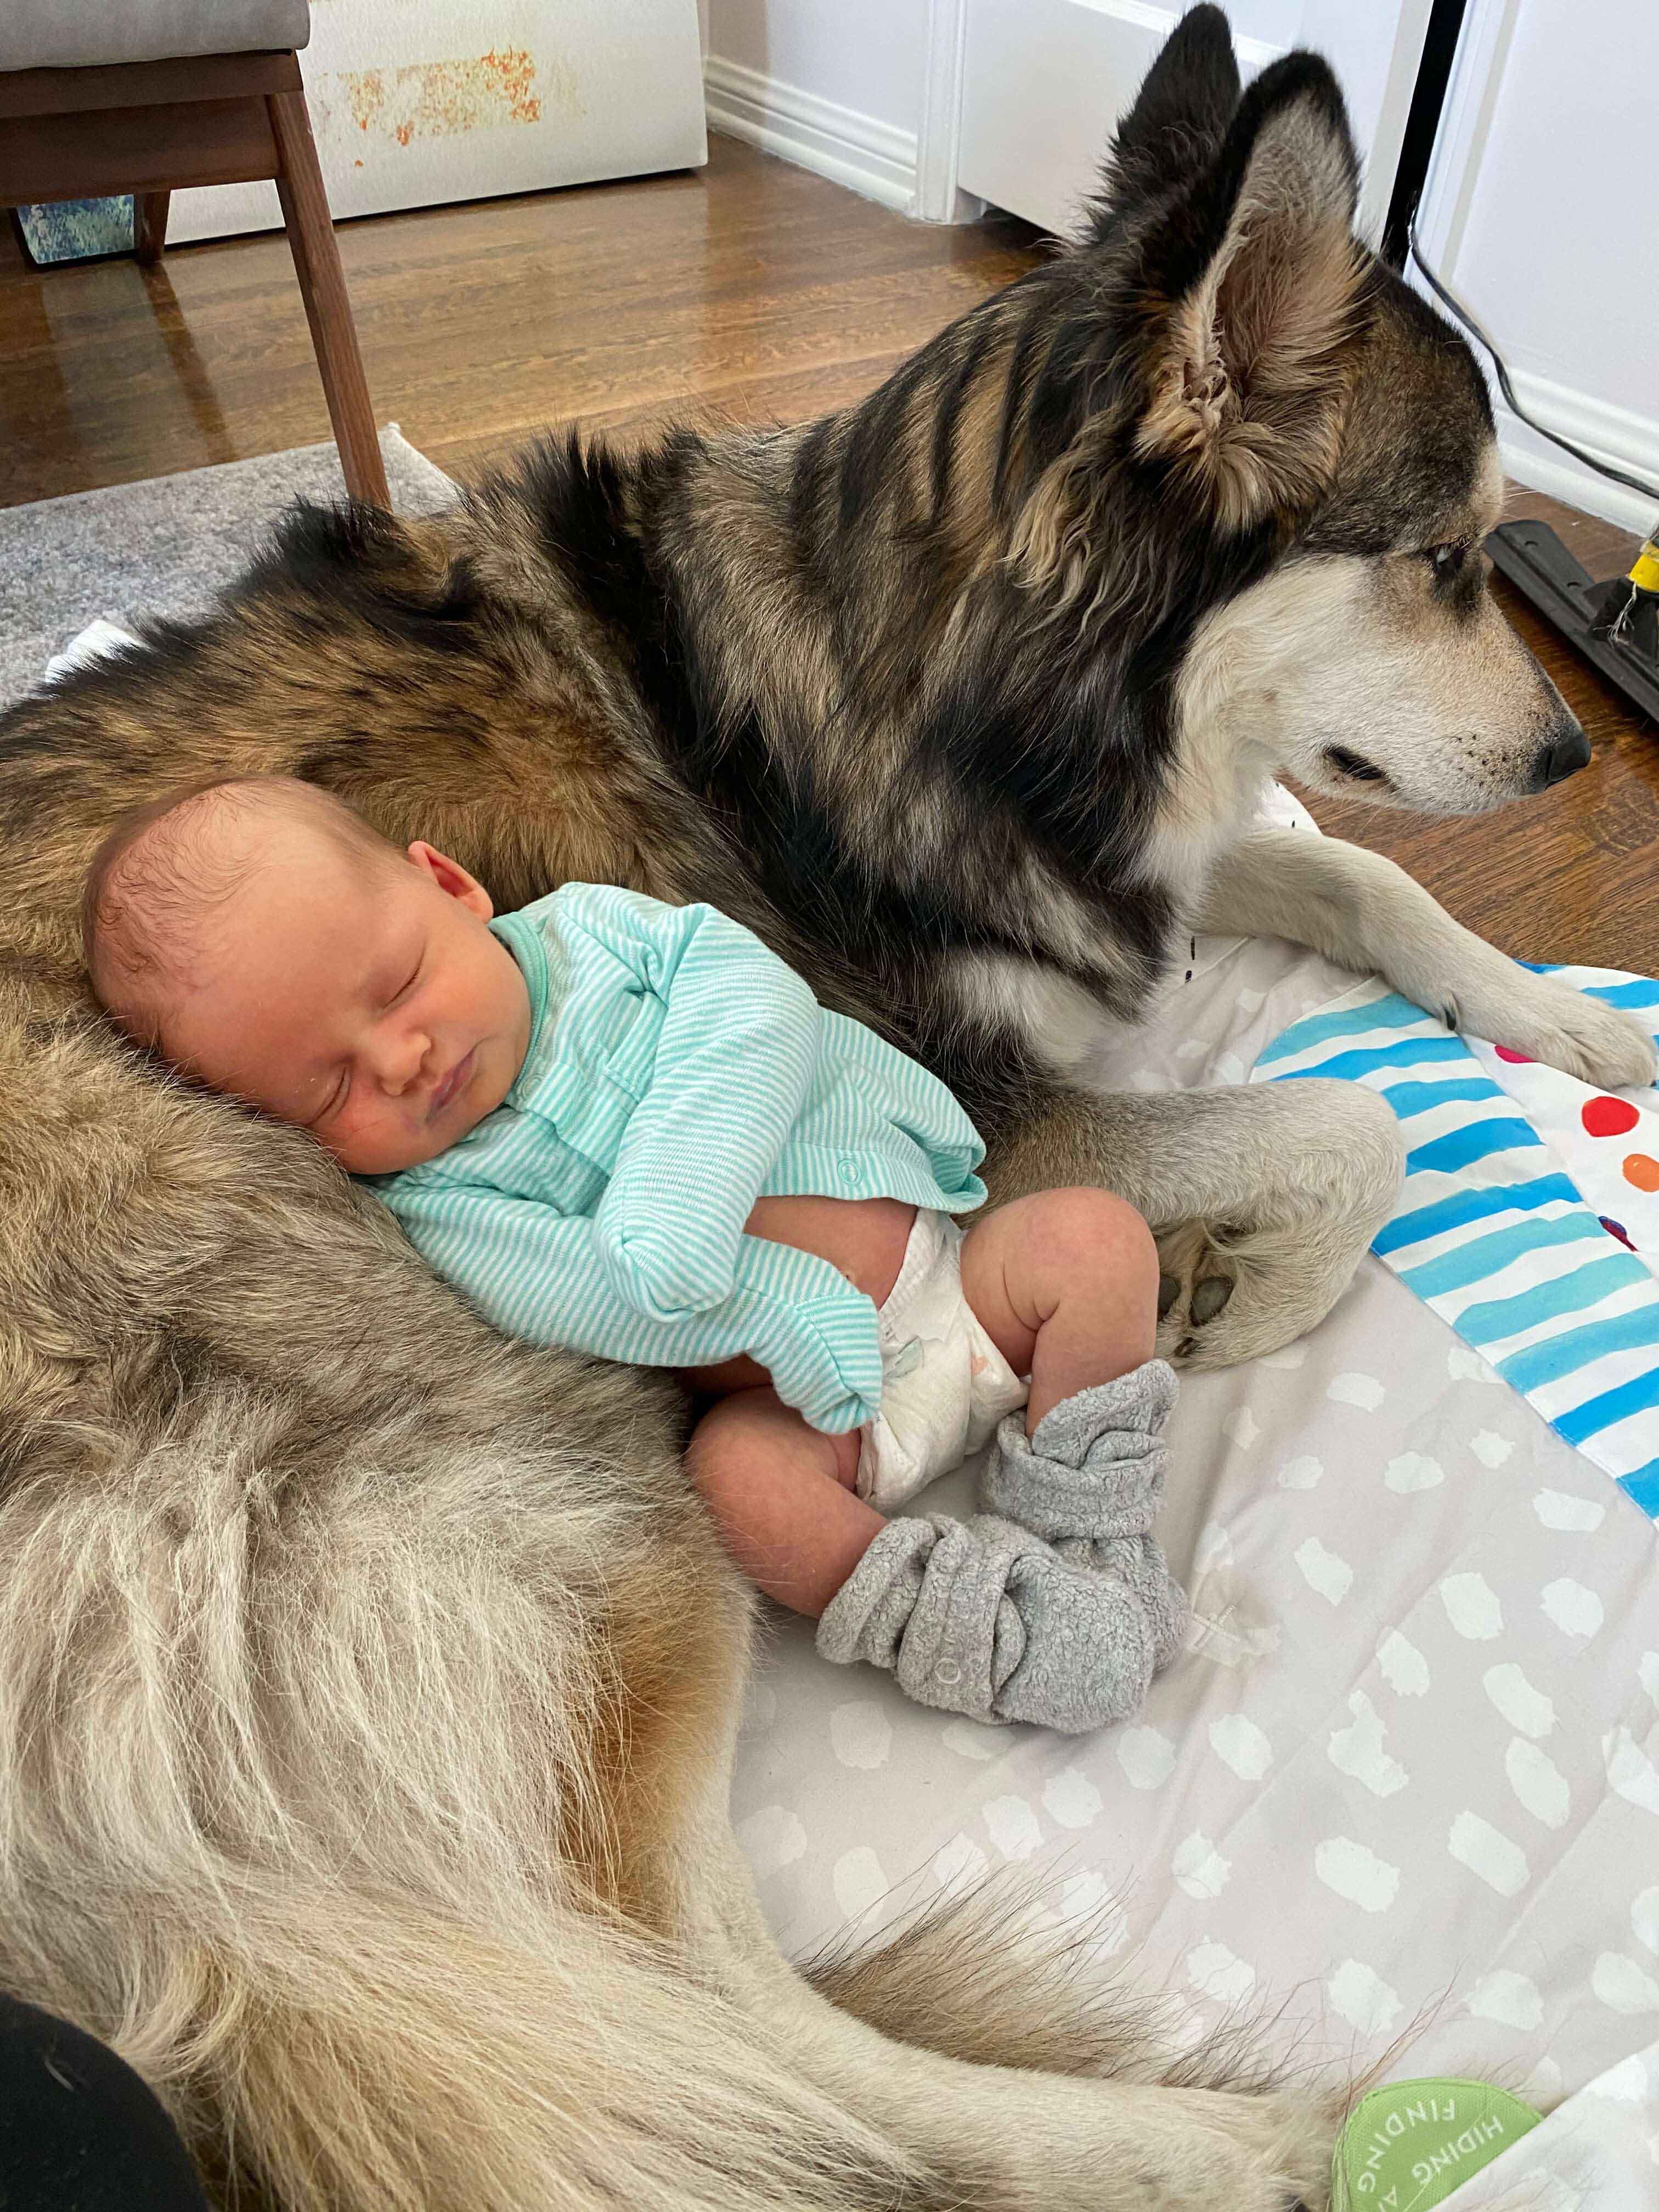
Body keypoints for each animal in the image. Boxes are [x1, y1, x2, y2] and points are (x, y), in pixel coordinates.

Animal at [0, 8, 1645, 2203]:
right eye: (1446, 561)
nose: (1568, 755)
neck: (968, 667)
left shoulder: (1116, 891)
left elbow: (1352, 880)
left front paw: (1556, 1019)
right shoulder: (1006, 1105)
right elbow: (1340, 1129)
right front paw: (1247, 1286)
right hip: (575, 1479)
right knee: (686, 2025)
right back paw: (1186, 2140)